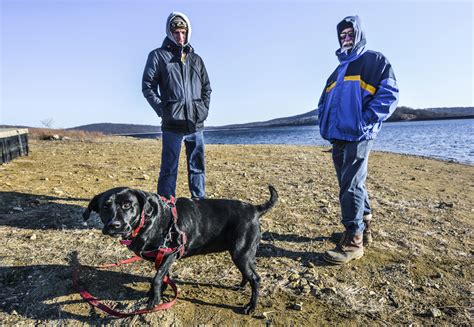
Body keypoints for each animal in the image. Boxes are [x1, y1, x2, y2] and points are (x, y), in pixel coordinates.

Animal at [82, 186, 278, 314]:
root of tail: (254, 209)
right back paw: (240, 286)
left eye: (127, 205)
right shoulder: (163, 257)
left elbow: (157, 277)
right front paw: (159, 294)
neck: (149, 219)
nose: (114, 225)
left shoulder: (170, 252)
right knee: (248, 274)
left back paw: (251, 306)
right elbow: (163, 277)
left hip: (241, 253)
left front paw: (154, 300)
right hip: (243, 254)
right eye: (105, 206)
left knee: (256, 279)